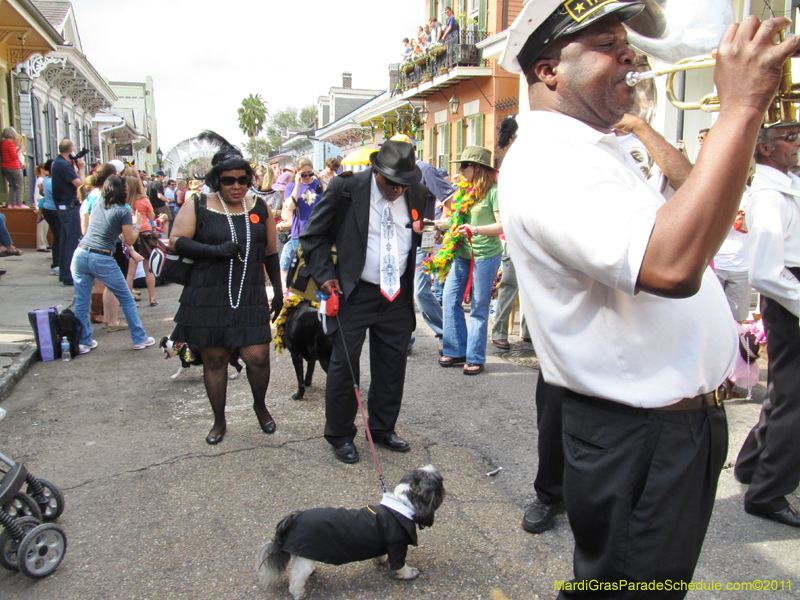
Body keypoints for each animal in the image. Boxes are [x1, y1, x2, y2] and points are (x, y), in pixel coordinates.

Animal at [256, 464, 444, 600]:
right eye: (440, 482)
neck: (402, 505)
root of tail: (295, 517)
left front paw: (381, 559)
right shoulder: (397, 545)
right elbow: (400, 565)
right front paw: (409, 573)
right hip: (303, 560)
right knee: (295, 578)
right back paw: (298, 593)